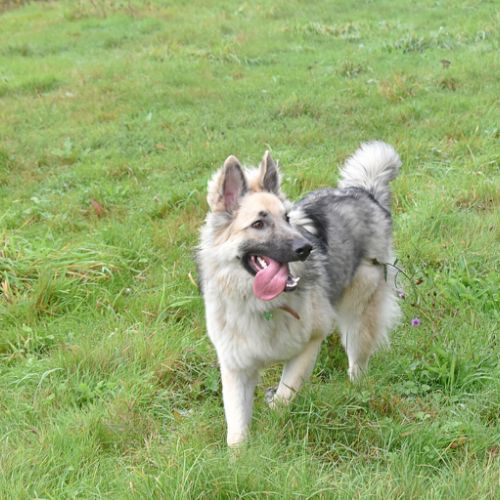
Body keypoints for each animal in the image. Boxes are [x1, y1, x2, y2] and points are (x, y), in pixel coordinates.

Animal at [198, 142, 402, 447]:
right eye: (258, 224)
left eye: (287, 218)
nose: (307, 248)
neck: (261, 305)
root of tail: (363, 191)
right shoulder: (235, 368)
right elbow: (236, 426)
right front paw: (239, 455)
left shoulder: (310, 343)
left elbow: (284, 395)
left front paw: (274, 410)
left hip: (358, 313)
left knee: (358, 361)